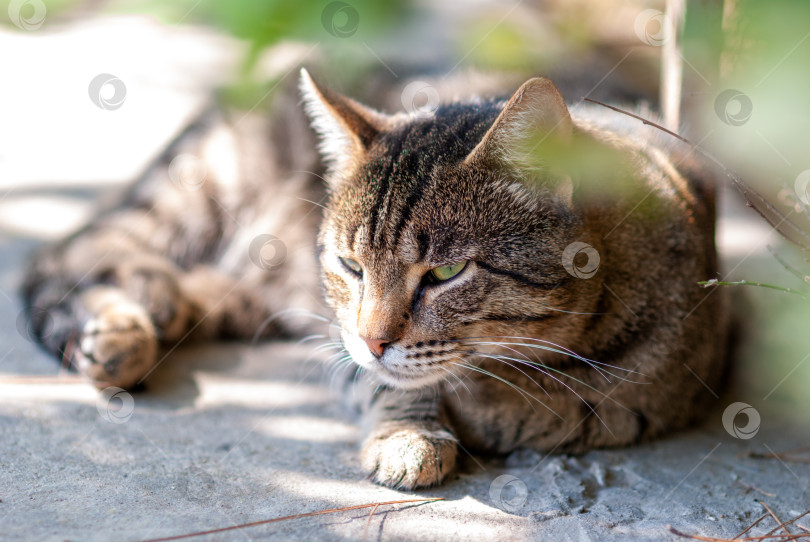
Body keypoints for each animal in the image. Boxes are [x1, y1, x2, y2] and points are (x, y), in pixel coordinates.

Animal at [20, 69, 724, 492]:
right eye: (350, 266)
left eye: (446, 272)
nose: (373, 339)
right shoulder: (339, 341)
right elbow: (387, 386)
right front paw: (412, 435)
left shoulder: (666, 384)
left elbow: (578, 406)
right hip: (191, 195)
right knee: (68, 256)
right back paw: (124, 324)